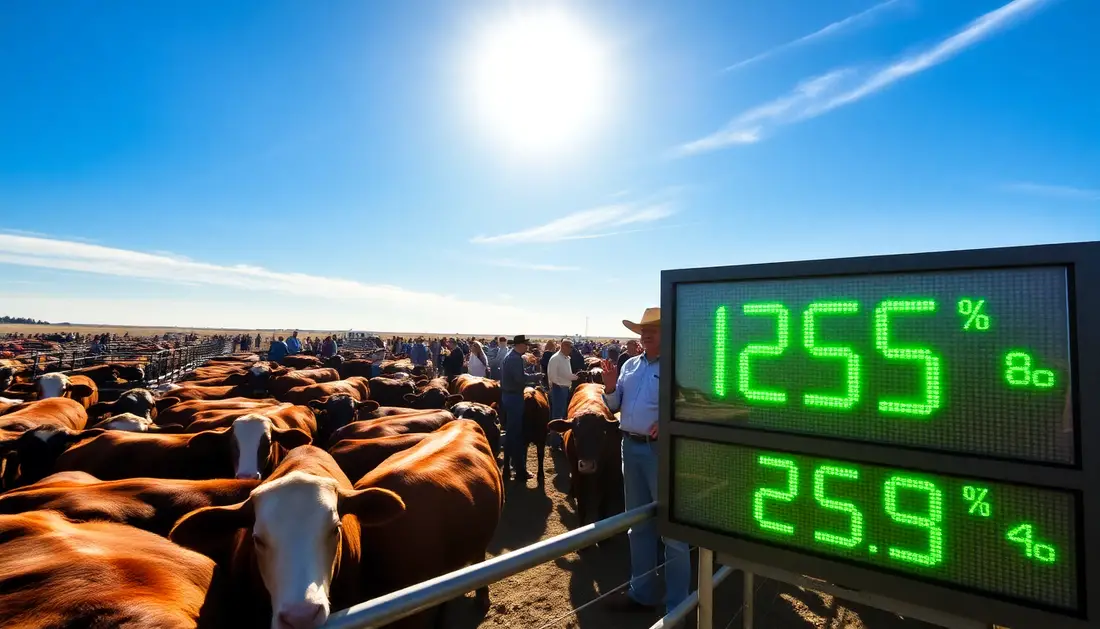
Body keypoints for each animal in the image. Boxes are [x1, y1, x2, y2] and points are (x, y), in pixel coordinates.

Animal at [545, 382, 624, 525]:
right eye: (575, 433)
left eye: (602, 433)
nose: (587, 465)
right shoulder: (577, 472)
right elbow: (582, 507)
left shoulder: (607, 472)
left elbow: (602, 506)